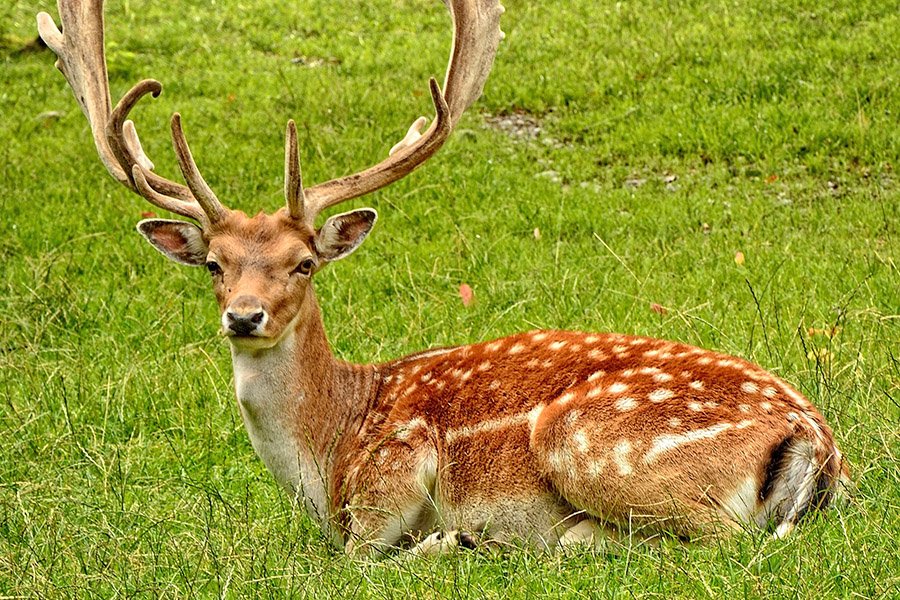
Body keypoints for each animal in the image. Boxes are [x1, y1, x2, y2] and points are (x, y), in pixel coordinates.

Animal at [38, 0, 848, 556]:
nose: (244, 316)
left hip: (589, 442)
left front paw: (446, 540)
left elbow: (359, 560)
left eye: (304, 262)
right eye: (215, 263)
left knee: (718, 539)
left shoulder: (391, 476)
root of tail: (818, 442)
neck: (329, 449)